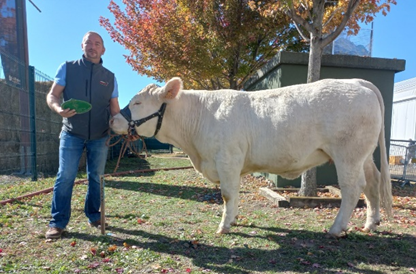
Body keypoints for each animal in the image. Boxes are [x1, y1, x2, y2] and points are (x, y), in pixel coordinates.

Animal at [109, 77, 390, 238]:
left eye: (137, 103)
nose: (112, 120)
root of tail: (357, 82)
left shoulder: (227, 160)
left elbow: (227, 194)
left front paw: (224, 227)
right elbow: (233, 195)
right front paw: (233, 220)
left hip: (348, 154)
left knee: (353, 189)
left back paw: (336, 229)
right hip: (364, 156)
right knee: (373, 184)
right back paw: (371, 223)